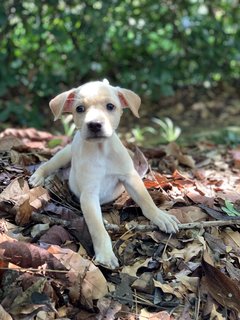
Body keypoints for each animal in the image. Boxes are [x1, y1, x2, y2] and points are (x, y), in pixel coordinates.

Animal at [29, 80, 178, 268]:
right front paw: (106, 254)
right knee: (48, 164)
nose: (94, 124)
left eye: (110, 106)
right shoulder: (89, 195)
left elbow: (146, 200)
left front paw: (161, 216)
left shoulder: (130, 177)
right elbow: (97, 228)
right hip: (64, 154)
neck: (101, 150)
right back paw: (39, 176)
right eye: (79, 109)